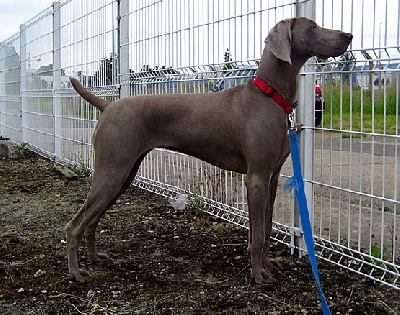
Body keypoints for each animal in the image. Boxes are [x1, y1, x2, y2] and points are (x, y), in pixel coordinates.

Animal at [67, 16, 352, 286]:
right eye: (312, 26)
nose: (348, 35)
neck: (270, 95)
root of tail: (108, 106)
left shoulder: (271, 179)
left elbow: (267, 227)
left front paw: (268, 266)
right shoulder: (256, 178)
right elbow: (259, 234)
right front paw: (258, 275)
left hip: (124, 175)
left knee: (91, 220)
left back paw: (95, 258)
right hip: (112, 170)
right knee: (74, 224)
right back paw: (76, 272)